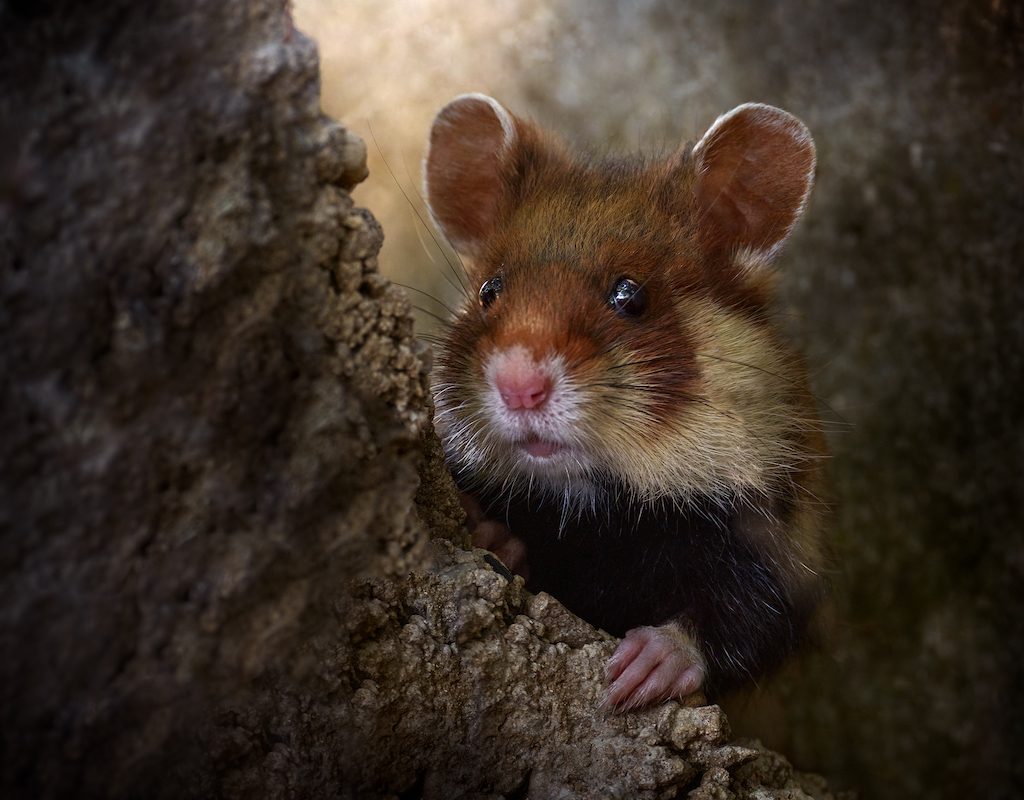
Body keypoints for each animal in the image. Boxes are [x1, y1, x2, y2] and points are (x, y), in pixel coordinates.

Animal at [423, 93, 827, 710]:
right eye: (490, 291)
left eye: (631, 295)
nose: (518, 385)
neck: (591, 502)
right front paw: (488, 536)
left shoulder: (777, 553)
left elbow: (740, 620)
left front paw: (636, 673)